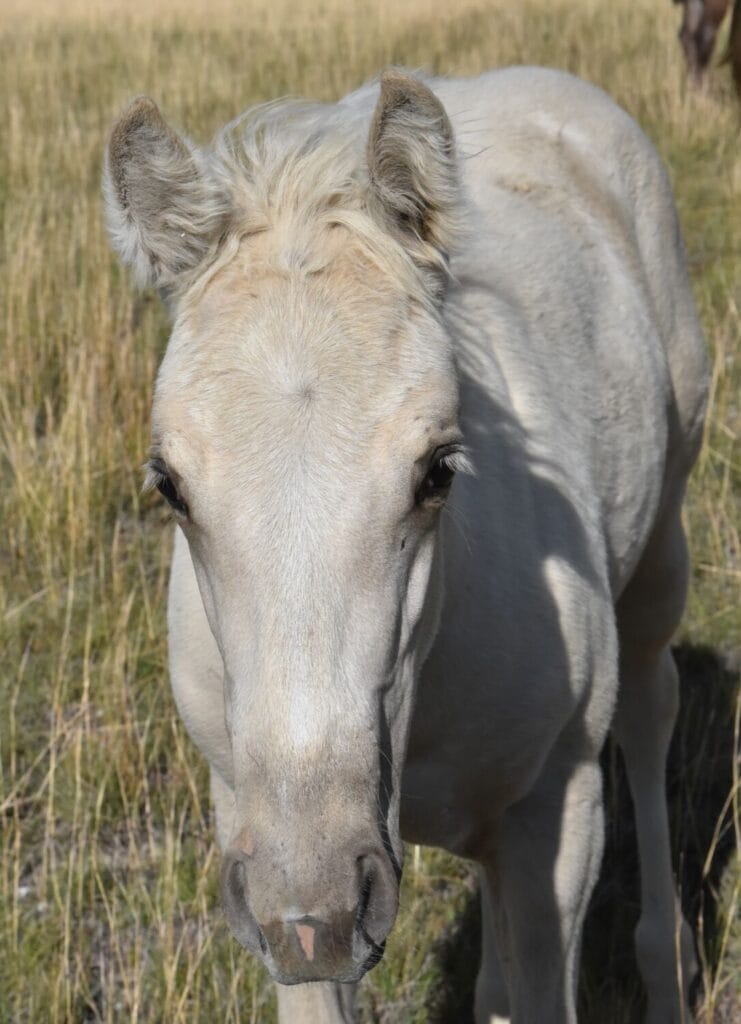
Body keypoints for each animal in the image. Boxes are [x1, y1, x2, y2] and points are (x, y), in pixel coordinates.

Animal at [104, 66, 709, 1023]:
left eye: (436, 472)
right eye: (169, 485)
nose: (313, 909)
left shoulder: (560, 815)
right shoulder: (253, 835)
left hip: (660, 545)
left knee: (651, 711)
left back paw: (667, 968)